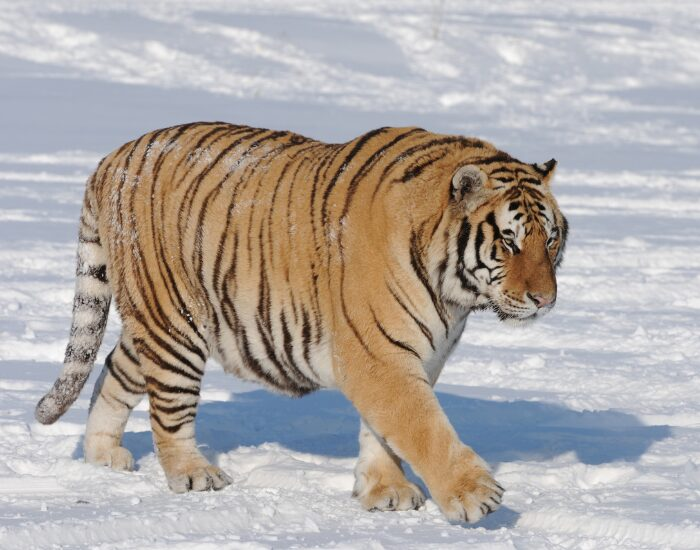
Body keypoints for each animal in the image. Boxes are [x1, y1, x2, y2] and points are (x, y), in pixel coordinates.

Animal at [35, 123, 568, 523]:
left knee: (114, 368)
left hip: (157, 321)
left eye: (551, 239)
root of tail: (114, 157)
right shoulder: (379, 356)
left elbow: (384, 433)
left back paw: (104, 457)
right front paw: (474, 495)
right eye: (509, 240)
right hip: (174, 323)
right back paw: (194, 475)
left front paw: (384, 492)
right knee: (168, 406)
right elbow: (422, 426)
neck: (454, 293)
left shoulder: (416, 355)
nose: (545, 299)